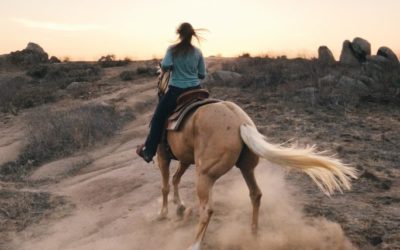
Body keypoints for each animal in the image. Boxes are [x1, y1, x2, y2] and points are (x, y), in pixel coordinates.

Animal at [152, 73, 356, 250]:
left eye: (159, 74)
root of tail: (240, 122)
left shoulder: (162, 155)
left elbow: (165, 185)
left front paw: (163, 213)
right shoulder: (185, 159)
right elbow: (176, 178)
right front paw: (179, 206)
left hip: (205, 175)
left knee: (207, 209)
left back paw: (194, 245)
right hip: (246, 168)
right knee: (255, 194)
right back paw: (254, 233)